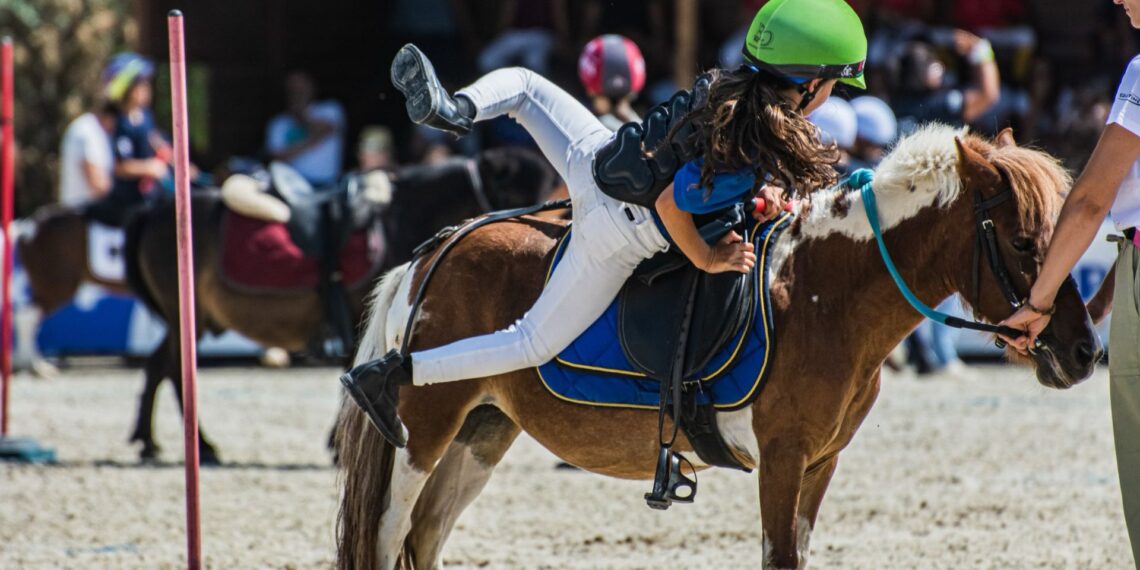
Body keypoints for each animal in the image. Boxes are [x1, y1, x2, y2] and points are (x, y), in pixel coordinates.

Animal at [123, 147, 559, 464]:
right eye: (524, 189)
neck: (397, 218)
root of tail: (154, 208)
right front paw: (340, 442)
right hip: (188, 316)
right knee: (175, 371)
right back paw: (199, 446)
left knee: (158, 365)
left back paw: (150, 441)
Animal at [334, 125, 1101, 570]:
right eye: (1024, 242)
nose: (1084, 351)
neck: (822, 291)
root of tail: (439, 248)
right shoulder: (783, 460)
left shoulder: (820, 463)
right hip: (426, 431)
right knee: (389, 532)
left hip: (484, 432)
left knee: (424, 536)